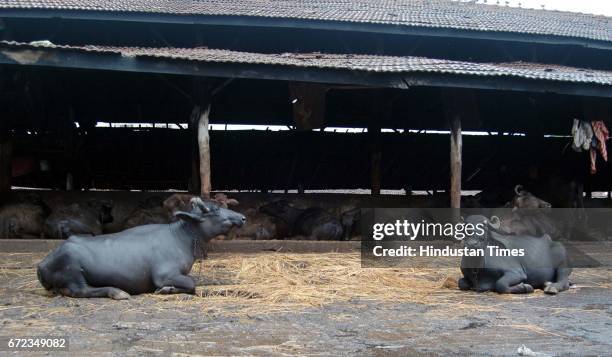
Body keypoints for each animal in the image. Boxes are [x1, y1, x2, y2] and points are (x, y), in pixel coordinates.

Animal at [36, 196, 244, 298]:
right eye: (214, 211)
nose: (241, 217)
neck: (181, 238)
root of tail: (42, 264)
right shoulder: (164, 275)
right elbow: (191, 284)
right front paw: (167, 290)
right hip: (73, 273)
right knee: (81, 291)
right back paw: (117, 292)